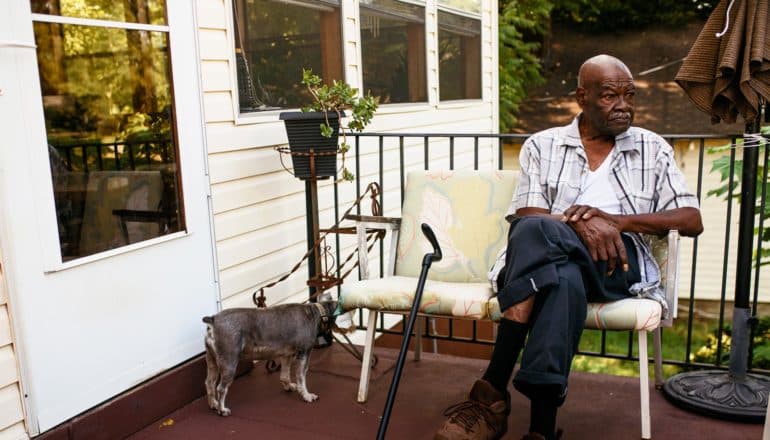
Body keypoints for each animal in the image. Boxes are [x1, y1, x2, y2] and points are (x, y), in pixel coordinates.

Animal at [202, 300, 338, 418]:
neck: (315, 313)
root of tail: (213, 320)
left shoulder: (286, 355)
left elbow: (285, 375)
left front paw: (288, 386)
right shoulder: (304, 354)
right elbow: (301, 378)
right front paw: (307, 396)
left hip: (212, 361)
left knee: (209, 383)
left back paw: (213, 404)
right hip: (229, 363)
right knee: (221, 388)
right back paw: (222, 410)